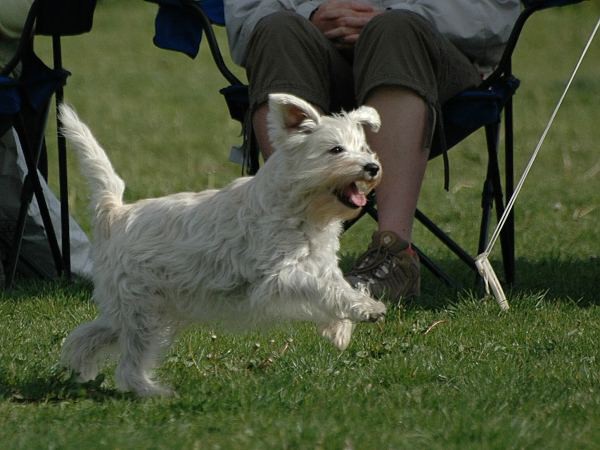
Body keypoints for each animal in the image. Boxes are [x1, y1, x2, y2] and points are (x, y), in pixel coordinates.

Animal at [58, 93, 386, 396]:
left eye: (364, 148)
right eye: (336, 149)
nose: (372, 166)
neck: (301, 210)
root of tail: (115, 214)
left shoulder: (321, 264)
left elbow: (340, 286)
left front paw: (340, 328)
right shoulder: (278, 277)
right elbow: (323, 289)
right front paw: (367, 310)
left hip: (138, 310)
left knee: (88, 335)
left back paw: (82, 369)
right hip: (143, 313)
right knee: (128, 364)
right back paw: (154, 393)